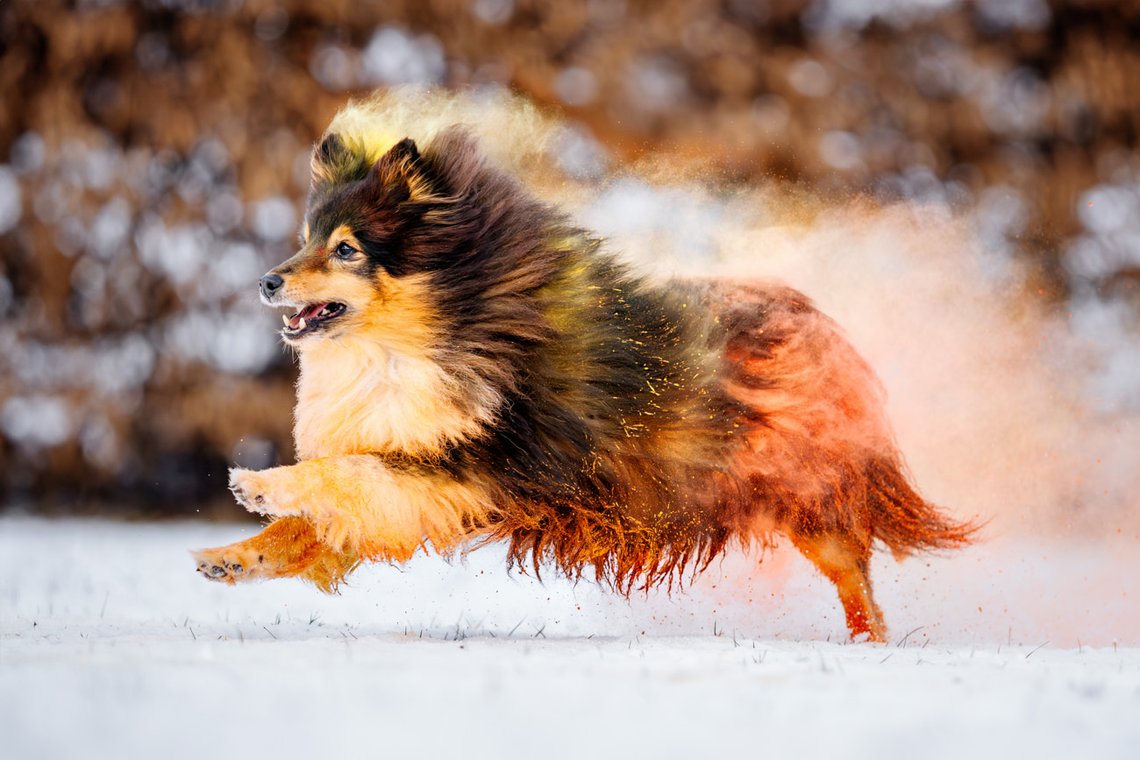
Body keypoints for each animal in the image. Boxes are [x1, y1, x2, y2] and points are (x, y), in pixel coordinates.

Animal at [193, 95, 971, 642]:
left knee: (859, 583)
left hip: (811, 503)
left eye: (348, 249)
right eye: (306, 239)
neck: (426, 339)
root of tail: (828, 329)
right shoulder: (419, 464)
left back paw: (870, 646)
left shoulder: (465, 470)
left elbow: (343, 474)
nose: (266, 280)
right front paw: (233, 557)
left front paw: (259, 484)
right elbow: (315, 522)